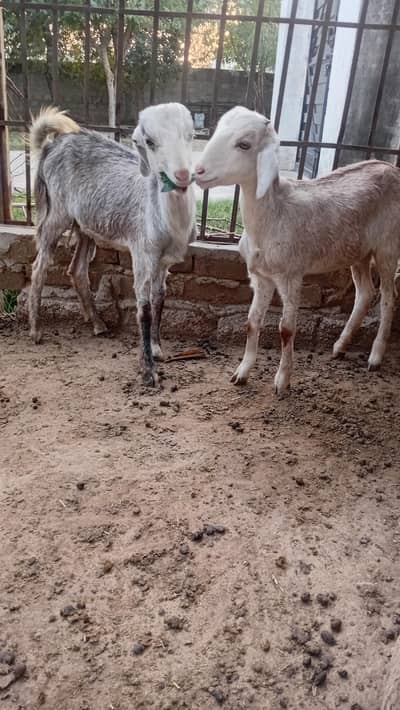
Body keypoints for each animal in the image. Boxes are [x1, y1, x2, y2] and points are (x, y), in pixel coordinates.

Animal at [29, 104, 196, 386]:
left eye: (190, 135)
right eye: (149, 141)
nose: (182, 175)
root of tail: (52, 144)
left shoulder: (163, 260)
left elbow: (160, 297)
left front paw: (157, 349)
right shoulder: (142, 252)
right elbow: (144, 308)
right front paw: (148, 372)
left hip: (85, 225)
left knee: (77, 269)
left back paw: (98, 324)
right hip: (56, 212)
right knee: (39, 267)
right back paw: (35, 330)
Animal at [195, 106, 400, 394]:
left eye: (244, 144)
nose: (198, 171)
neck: (273, 215)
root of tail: (390, 167)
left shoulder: (291, 275)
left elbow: (286, 330)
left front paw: (282, 381)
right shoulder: (261, 276)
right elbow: (252, 322)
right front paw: (242, 372)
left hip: (387, 246)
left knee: (388, 297)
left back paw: (376, 356)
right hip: (358, 251)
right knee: (365, 293)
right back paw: (340, 346)